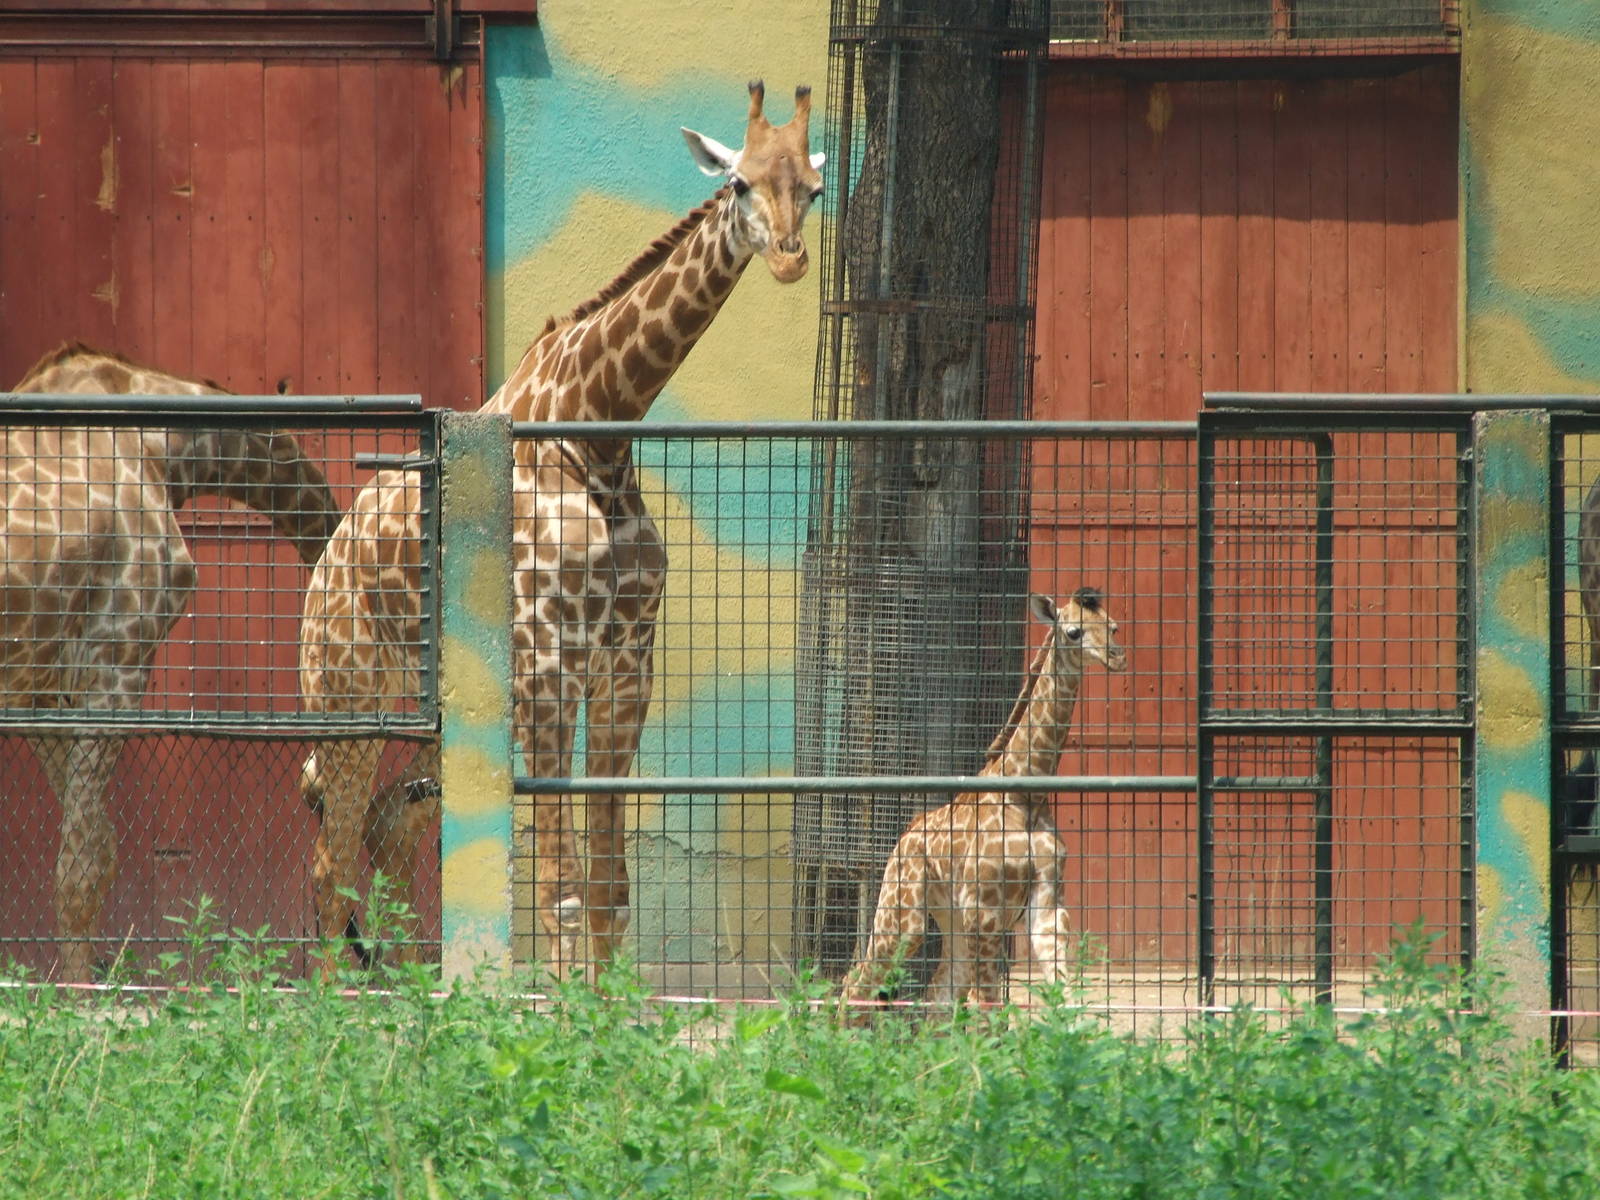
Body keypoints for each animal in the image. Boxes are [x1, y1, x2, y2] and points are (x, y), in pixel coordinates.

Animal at [2, 341, 341, 979]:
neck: (168, 451)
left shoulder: (42, 688)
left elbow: (98, 847)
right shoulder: (118, 655)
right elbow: (82, 866)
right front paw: (80, 994)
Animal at [297, 80, 826, 976]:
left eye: (815, 191)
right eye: (739, 183)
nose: (789, 257)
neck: (598, 433)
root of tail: (328, 561)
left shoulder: (624, 665)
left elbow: (611, 889)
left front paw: (608, 1001)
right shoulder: (548, 665)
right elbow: (561, 887)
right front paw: (559, 1000)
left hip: (447, 702)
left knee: (387, 819)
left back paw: (404, 980)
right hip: (347, 689)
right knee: (330, 851)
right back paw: (336, 993)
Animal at [841, 589, 1126, 1010]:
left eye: (1113, 626)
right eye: (1073, 632)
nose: (1117, 656)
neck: (1025, 794)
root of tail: (901, 840)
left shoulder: (1048, 904)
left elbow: (1063, 996)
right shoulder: (983, 908)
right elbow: (986, 1005)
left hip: (948, 920)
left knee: (938, 993)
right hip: (904, 914)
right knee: (856, 981)